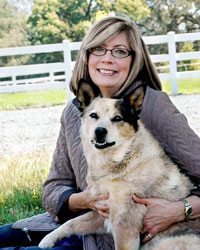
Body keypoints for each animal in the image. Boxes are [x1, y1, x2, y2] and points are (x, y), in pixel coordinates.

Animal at [39, 80, 200, 250]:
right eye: (93, 115)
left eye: (117, 118)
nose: (100, 131)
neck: (120, 159)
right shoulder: (101, 212)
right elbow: (71, 223)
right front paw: (48, 239)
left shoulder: (125, 223)